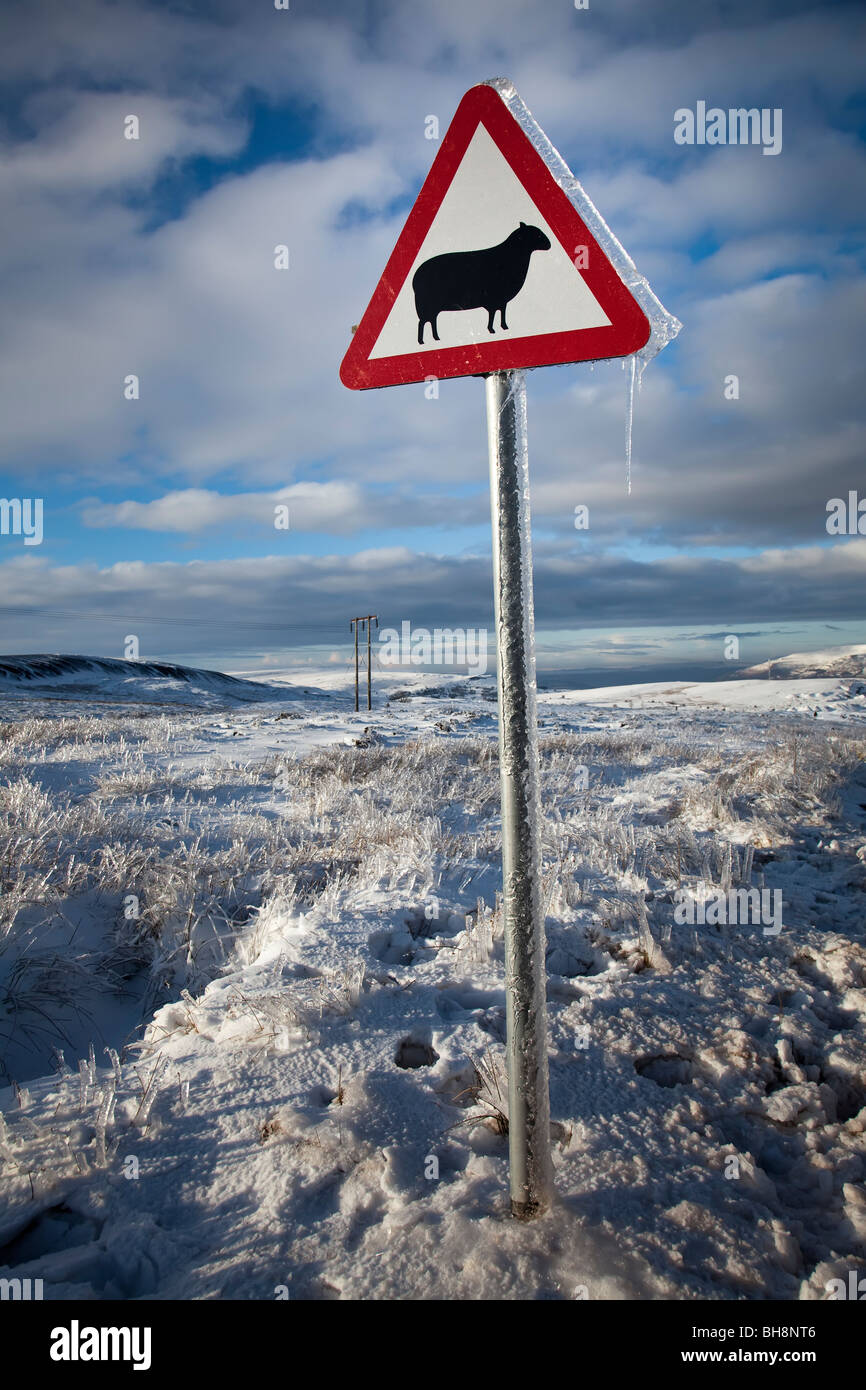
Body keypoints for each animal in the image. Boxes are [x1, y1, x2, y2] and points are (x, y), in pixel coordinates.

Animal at [412, 222, 551, 345]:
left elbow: (501, 313)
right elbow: (493, 315)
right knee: (423, 323)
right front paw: (492, 330)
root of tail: (415, 279)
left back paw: (435, 338)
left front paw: (504, 327)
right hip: (427, 307)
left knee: (431, 321)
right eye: (537, 234)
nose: (549, 244)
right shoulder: (493, 300)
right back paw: (422, 341)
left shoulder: (501, 301)